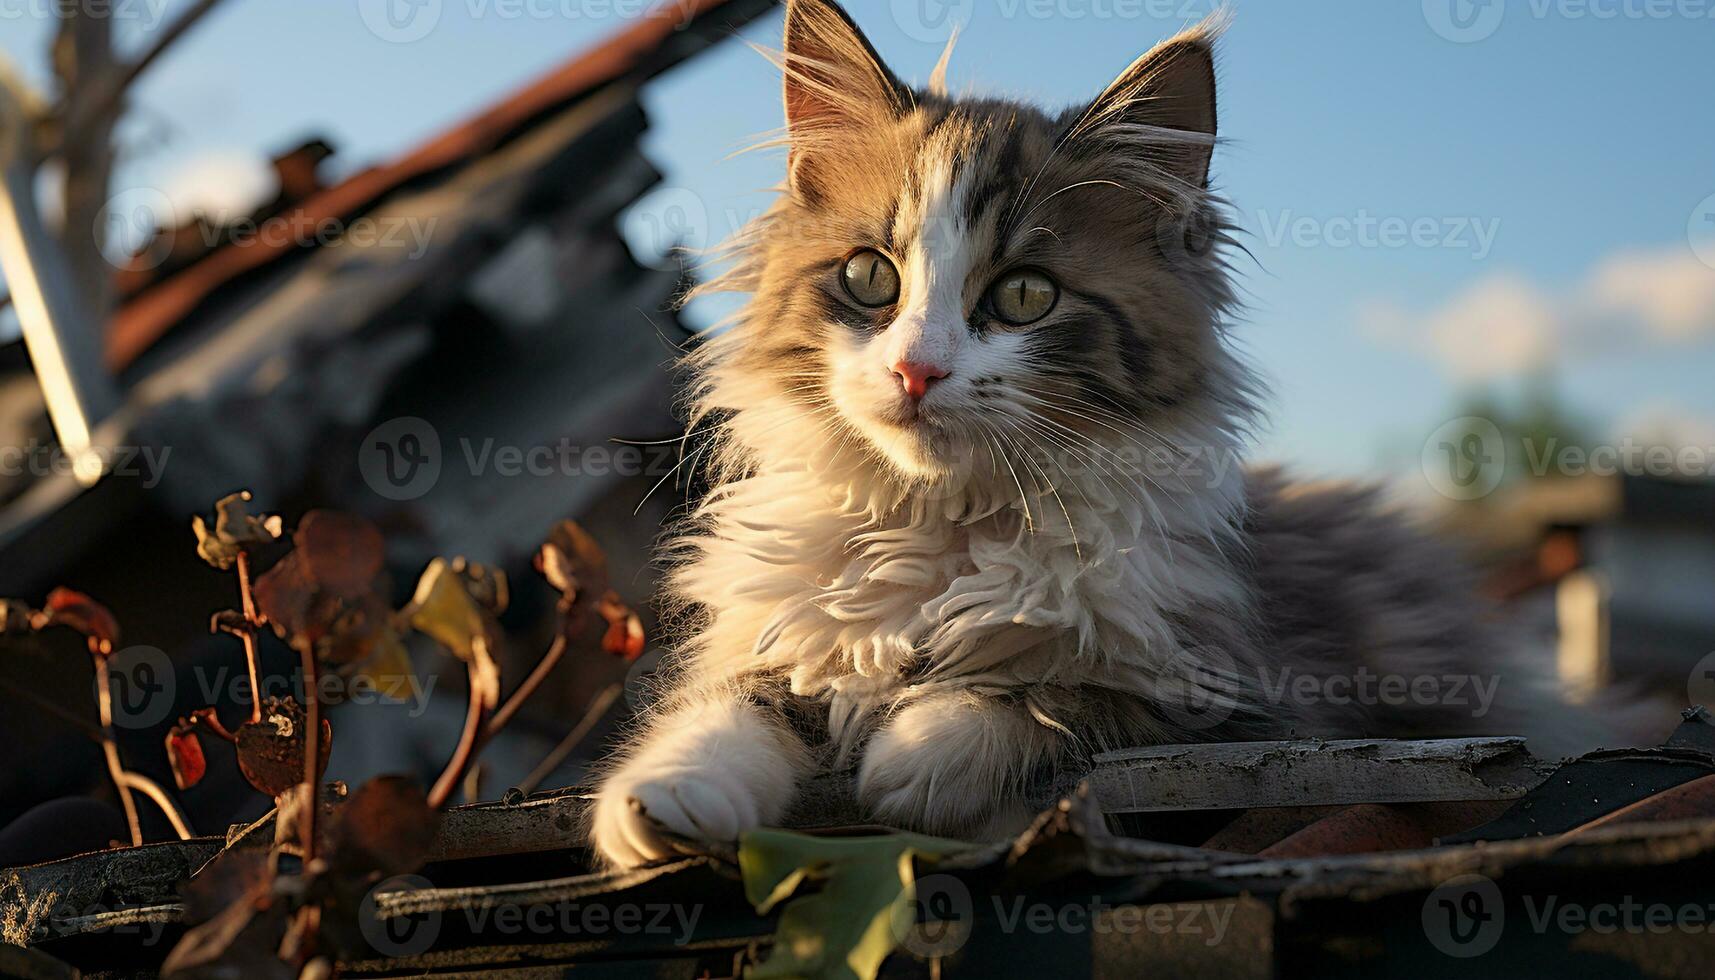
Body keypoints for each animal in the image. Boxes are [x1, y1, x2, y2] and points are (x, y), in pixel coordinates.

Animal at [583, 1, 1612, 875]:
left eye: (1024, 295)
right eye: (871, 277)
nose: (916, 370)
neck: (943, 524)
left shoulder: (1245, 702)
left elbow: (1056, 691)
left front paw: (920, 749)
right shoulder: (777, 634)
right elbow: (731, 700)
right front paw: (663, 796)